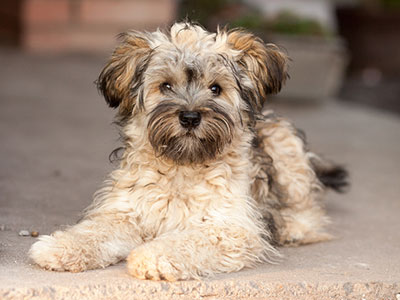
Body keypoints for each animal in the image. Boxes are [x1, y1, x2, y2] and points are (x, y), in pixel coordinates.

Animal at [28, 22, 346, 282]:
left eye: (215, 88)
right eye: (166, 85)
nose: (190, 117)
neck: (182, 167)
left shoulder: (230, 228)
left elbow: (186, 240)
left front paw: (152, 257)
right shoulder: (126, 211)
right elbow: (94, 231)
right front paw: (60, 247)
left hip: (286, 149)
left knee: (308, 207)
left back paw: (292, 228)